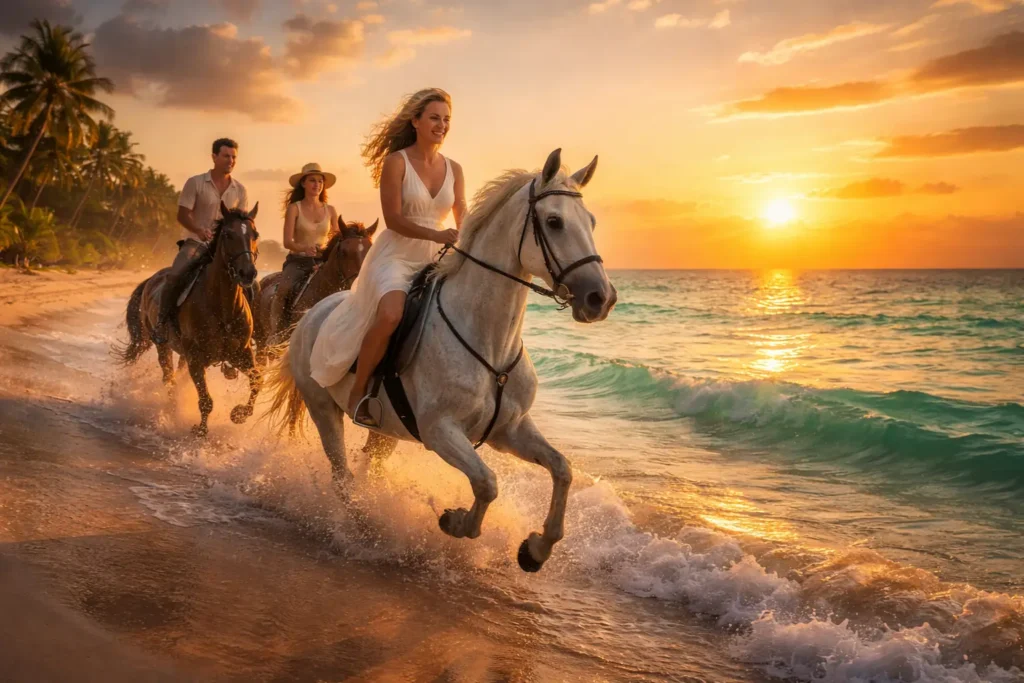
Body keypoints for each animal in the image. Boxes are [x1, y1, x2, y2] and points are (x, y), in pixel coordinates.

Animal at [117, 203, 262, 437]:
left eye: (255, 234)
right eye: (228, 234)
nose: (247, 273)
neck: (222, 307)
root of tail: (151, 279)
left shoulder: (242, 353)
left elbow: (258, 380)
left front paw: (239, 414)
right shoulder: (196, 357)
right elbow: (205, 401)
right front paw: (200, 430)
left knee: (177, 375)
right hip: (163, 345)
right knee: (169, 378)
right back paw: (171, 410)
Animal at [266, 149, 616, 572]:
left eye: (591, 221)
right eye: (554, 221)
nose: (601, 298)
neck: (489, 342)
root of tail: (311, 313)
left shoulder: (510, 429)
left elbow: (562, 470)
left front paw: (535, 549)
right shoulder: (440, 431)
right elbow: (487, 483)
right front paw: (456, 521)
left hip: (386, 430)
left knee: (368, 467)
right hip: (323, 409)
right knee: (342, 476)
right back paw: (364, 528)